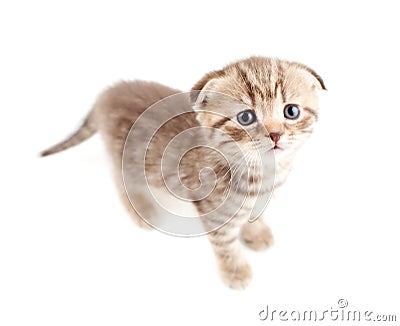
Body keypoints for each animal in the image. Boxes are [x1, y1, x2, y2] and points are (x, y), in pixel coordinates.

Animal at [41, 56, 324, 290]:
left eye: (291, 111)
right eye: (246, 117)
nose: (275, 134)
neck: (262, 173)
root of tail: (106, 94)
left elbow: (254, 216)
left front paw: (256, 233)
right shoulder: (213, 211)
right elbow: (225, 244)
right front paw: (235, 272)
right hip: (125, 160)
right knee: (121, 182)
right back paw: (141, 210)